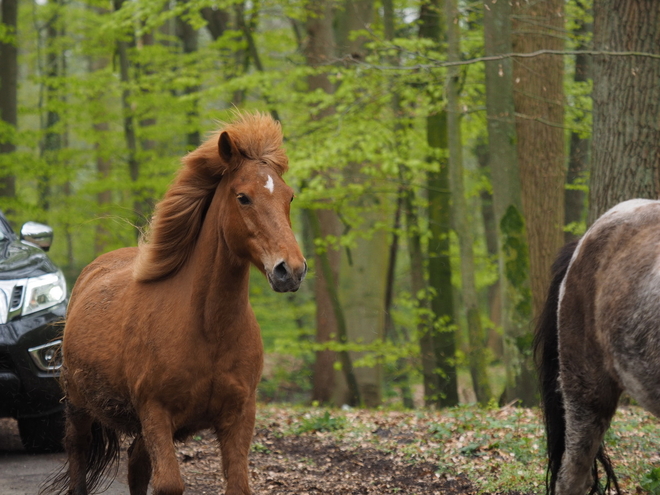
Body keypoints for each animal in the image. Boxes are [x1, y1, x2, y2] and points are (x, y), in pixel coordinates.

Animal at [43, 113, 306, 495]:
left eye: (289, 197)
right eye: (243, 197)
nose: (292, 270)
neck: (208, 329)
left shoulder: (239, 416)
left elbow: (237, 484)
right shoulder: (156, 413)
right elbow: (168, 484)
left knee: (136, 466)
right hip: (79, 406)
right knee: (78, 455)